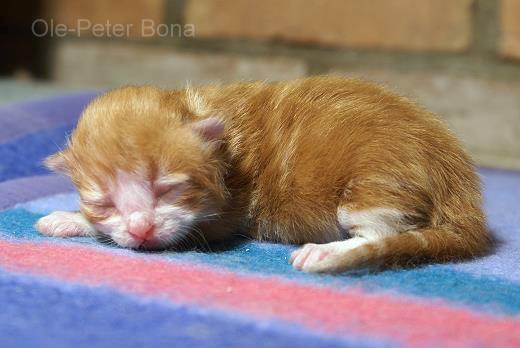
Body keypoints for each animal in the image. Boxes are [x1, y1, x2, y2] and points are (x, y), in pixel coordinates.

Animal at [36, 77, 492, 274]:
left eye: (168, 189)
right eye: (104, 202)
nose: (140, 230)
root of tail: (459, 181)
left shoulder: (225, 212)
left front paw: (71, 219)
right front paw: (71, 217)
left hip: (376, 184)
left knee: (380, 232)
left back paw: (327, 252)